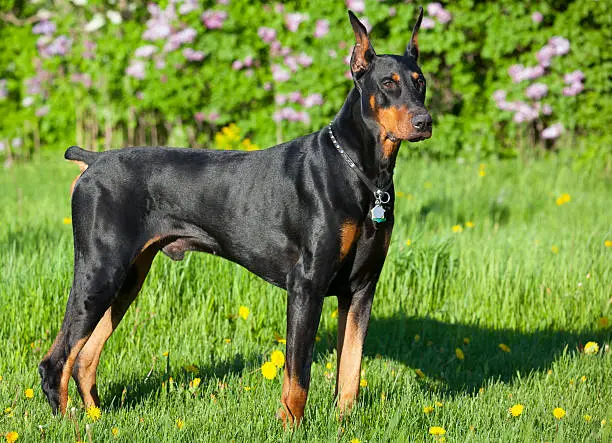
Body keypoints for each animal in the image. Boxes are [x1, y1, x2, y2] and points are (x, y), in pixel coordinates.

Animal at [39, 9, 430, 426]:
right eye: (387, 83)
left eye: (420, 83)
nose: (425, 121)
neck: (362, 173)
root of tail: (93, 161)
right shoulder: (306, 285)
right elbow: (298, 373)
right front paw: (290, 427)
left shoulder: (360, 288)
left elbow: (351, 372)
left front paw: (343, 426)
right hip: (100, 270)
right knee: (56, 360)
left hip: (128, 278)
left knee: (84, 357)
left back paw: (97, 419)